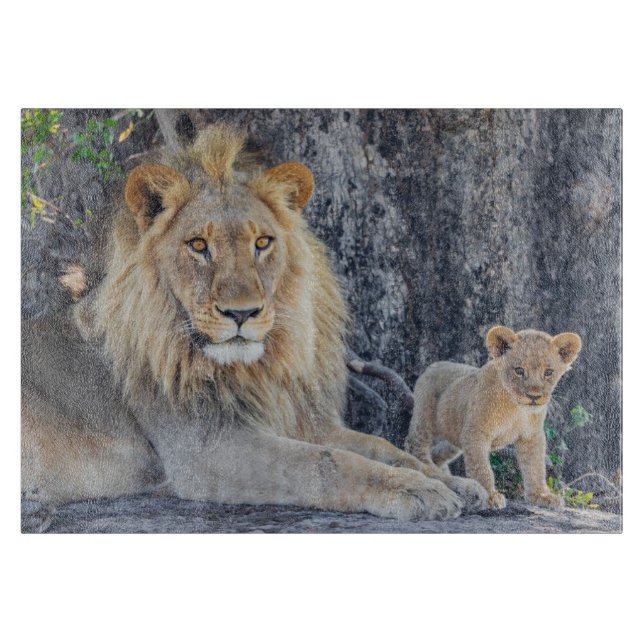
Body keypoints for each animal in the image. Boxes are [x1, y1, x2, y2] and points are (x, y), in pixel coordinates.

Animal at [21, 124, 488, 531]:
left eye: (262, 243)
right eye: (198, 245)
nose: (242, 313)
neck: (255, 370)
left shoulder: (297, 422)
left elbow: (381, 446)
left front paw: (454, 482)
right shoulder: (205, 451)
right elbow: (326, 462)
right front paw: (415, 490)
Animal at [404, 326, 582, 509]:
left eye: (548, 372)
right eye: (519, 370)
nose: (534, 396)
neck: (515, 407)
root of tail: (433, 365)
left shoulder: (532, 436)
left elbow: (535, 467)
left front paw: (541, 495)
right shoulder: (475, 433)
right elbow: (481, 468)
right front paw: (489, 495)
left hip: (455, 437)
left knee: (438, 452)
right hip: (425, 418)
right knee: (414, 445)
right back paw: (429, 469)